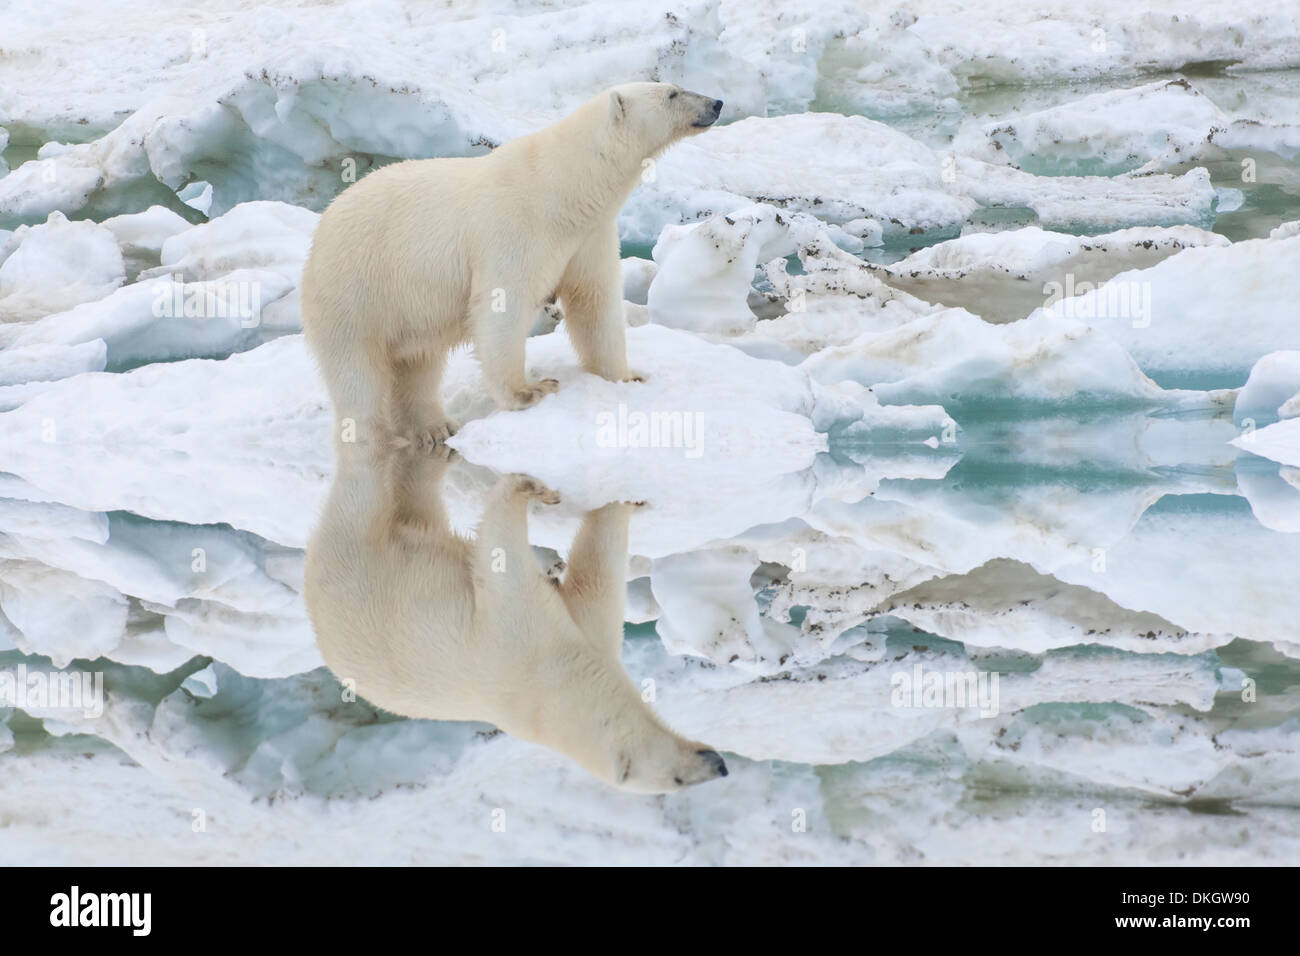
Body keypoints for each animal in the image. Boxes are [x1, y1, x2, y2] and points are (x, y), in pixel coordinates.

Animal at [301, 82, 722, 447]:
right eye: (672, 92)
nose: (716, 103)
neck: (563, 190)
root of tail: (322, 227)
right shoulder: (515, 227)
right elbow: (504, 303)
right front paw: (530, 391)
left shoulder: (588, 236)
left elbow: (595, 301)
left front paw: (626, 377)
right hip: (356, 287)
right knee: (357, 373)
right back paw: (375, 434)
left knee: (418, 364)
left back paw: (434, 427)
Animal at [304, 452, 733, 796]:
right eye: (676, 779)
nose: (720, 765)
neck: (548, 693)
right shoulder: (519, 639)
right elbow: (504, 558)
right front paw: (530, 489)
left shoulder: (584, 635)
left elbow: (594, 580)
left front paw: (626, 501)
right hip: (357, 560)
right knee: (364, 495)